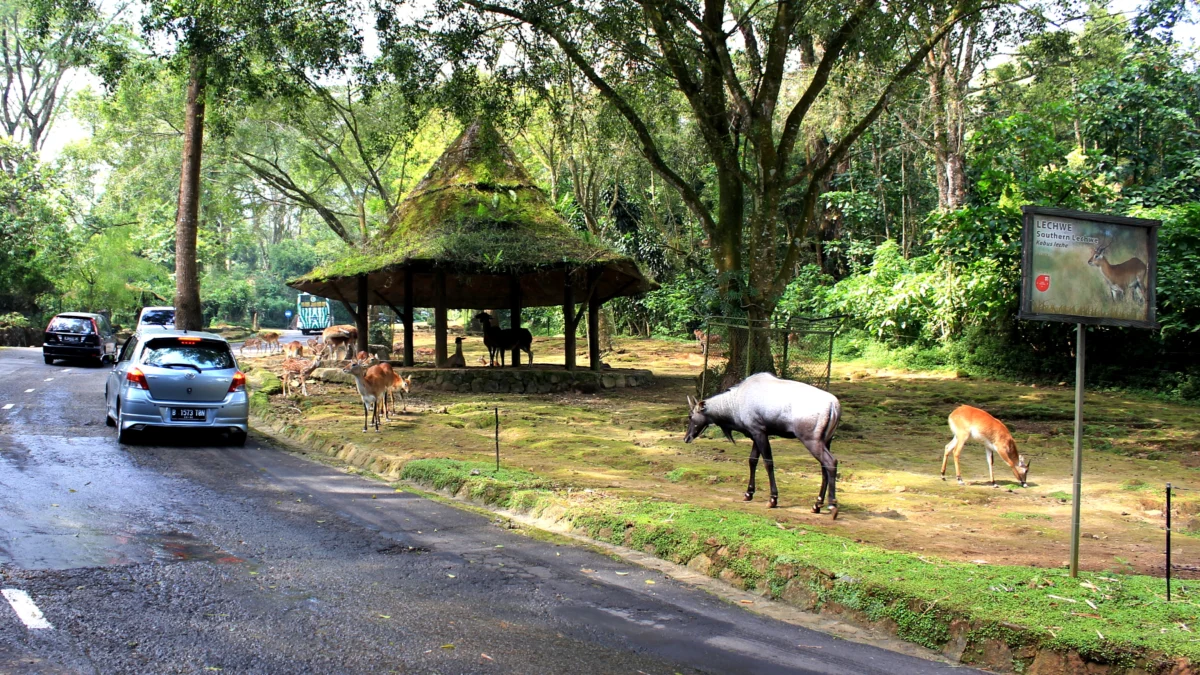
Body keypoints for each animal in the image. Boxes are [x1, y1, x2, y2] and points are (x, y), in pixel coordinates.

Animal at [686, 369, 844, 516]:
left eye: (690, 416)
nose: (686, 437)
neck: (735, 402)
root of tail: (834, 405)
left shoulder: (758, 431)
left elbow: (768, 462)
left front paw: (773, 499)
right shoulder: (757, 433)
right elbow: (752, 460)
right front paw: (748, 494)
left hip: (811, 440)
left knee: (831, 462)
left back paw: (832, 505)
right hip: (826, 441)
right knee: (824, 467)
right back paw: (817, 505)